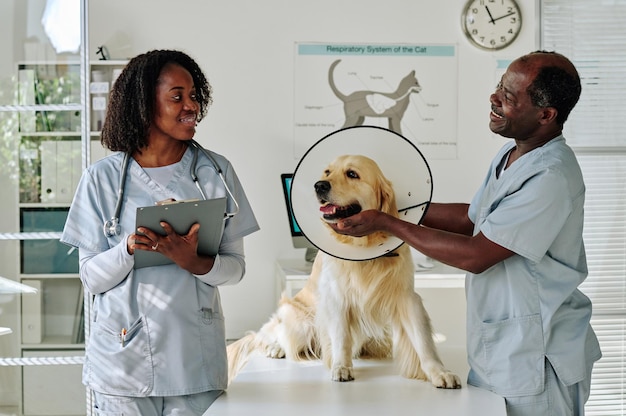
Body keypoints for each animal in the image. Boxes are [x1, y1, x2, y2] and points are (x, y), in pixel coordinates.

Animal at [227, 154, 460, 388]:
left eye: (352, 174)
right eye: (327, 172)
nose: (319, 185)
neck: (365, 252)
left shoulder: (406, 296)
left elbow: (423, 341)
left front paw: (440, 372)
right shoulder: (337, 297)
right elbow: (341, 337)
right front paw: (341, 367)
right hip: (300, 320)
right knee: (270, 334)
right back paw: (274, 347)